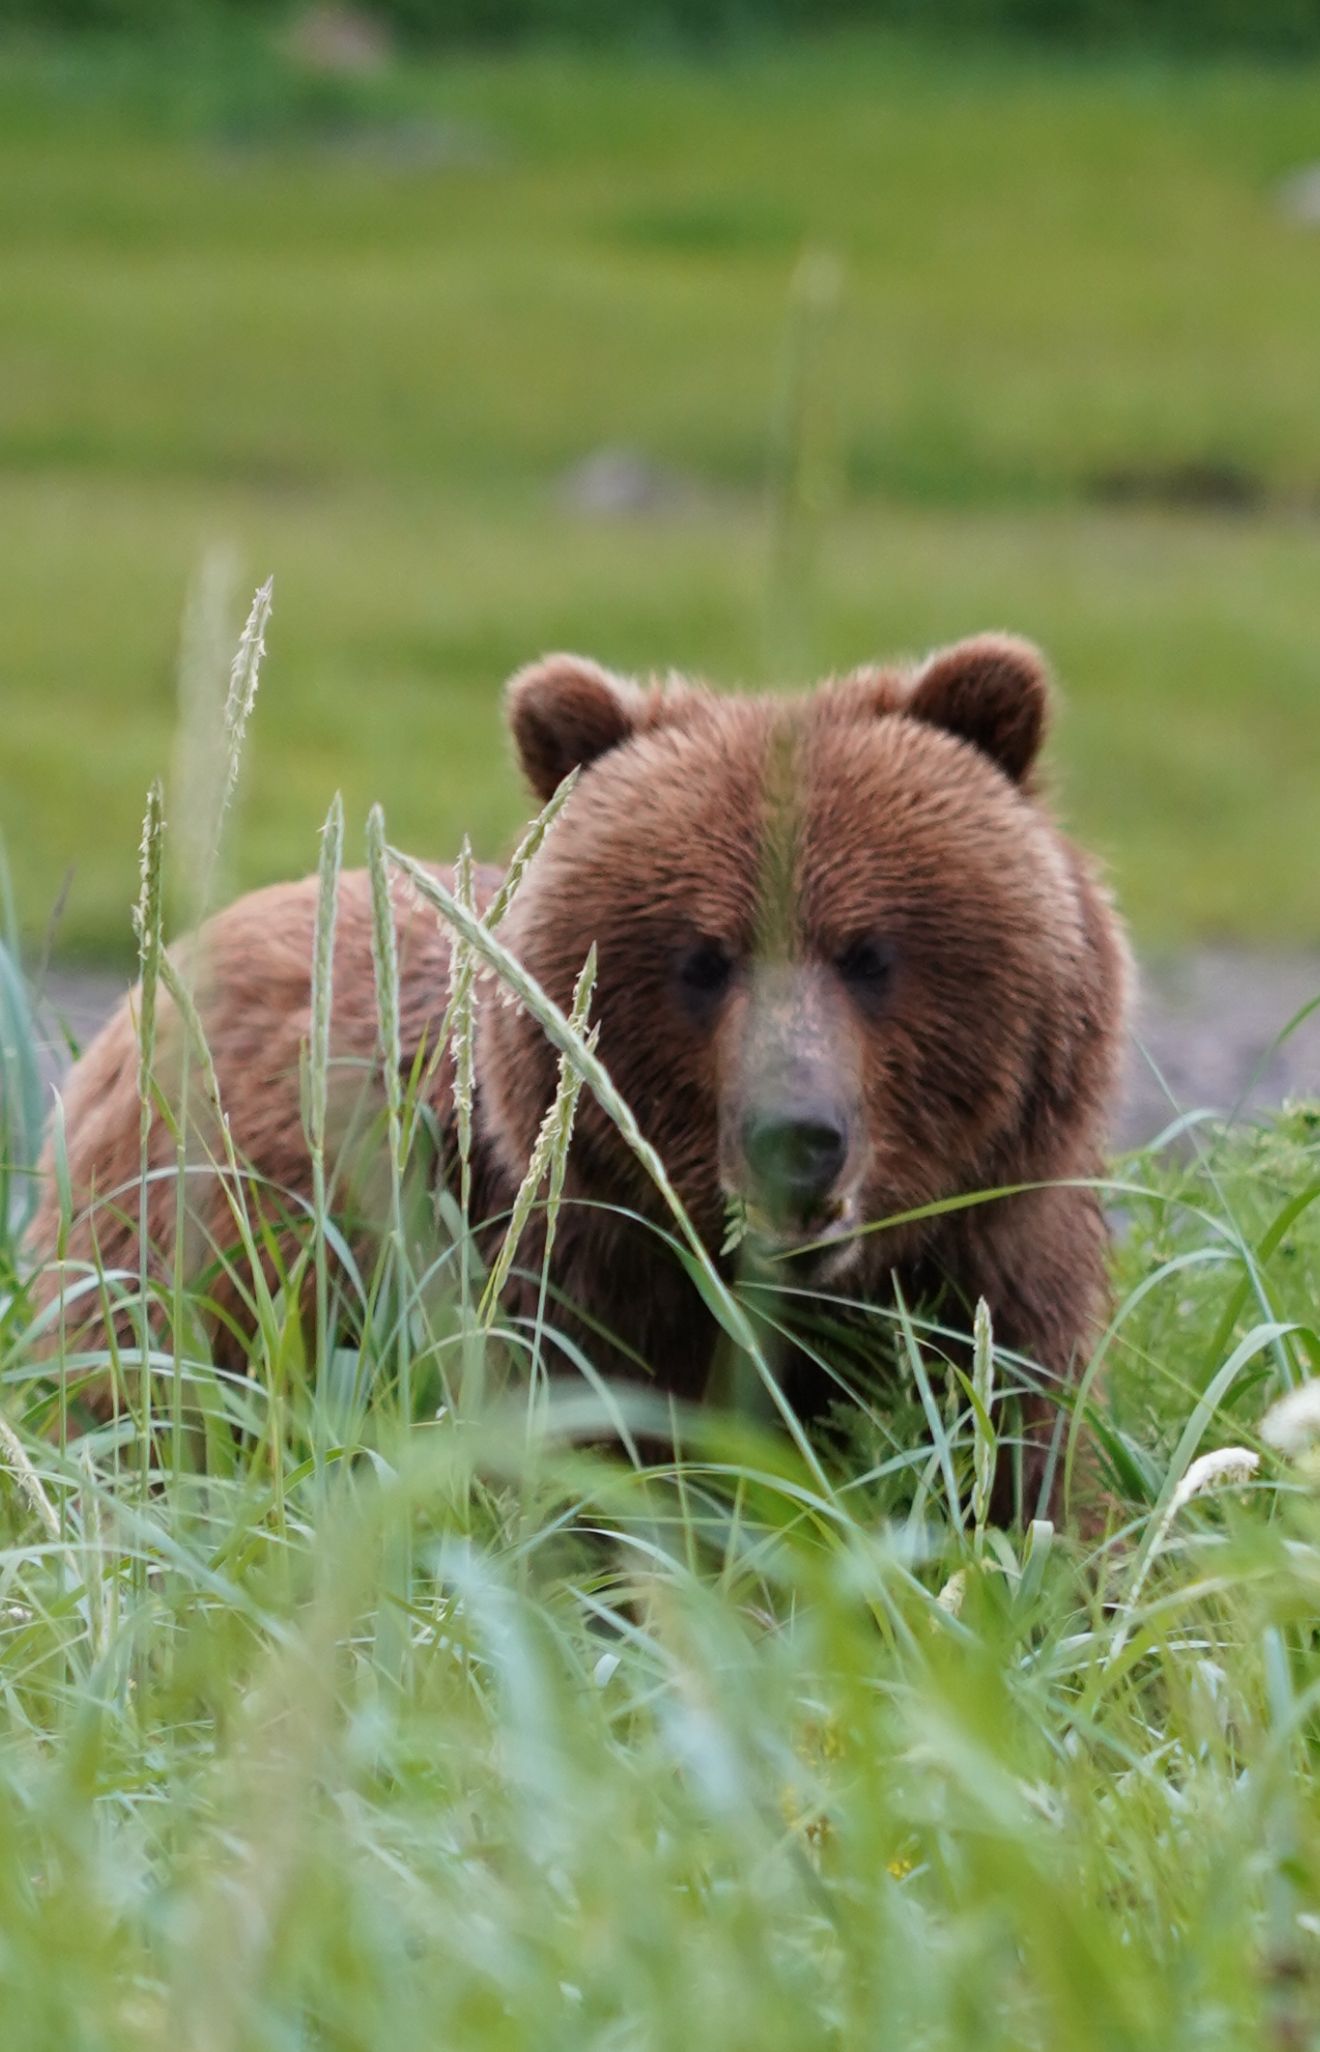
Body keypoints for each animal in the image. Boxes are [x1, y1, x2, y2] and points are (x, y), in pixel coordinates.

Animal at [26, 633, 1129, 1517]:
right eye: (705, 958)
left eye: (869, 952)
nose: (796, 1138)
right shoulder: (560, 1283)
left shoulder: (997, 1270)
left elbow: (1024, 1472)